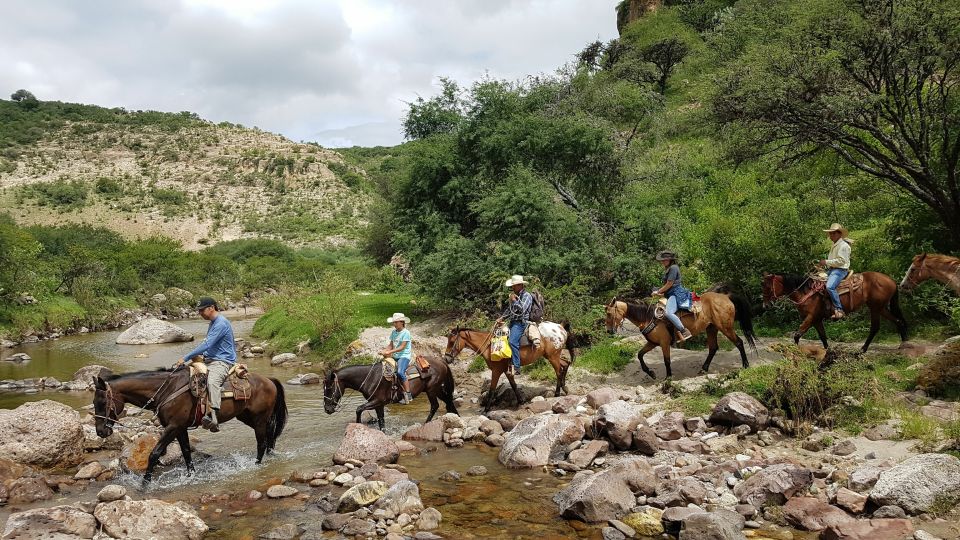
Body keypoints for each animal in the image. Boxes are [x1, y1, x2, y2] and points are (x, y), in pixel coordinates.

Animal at [94, 370, 288, 488]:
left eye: (102, 403)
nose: (100, 432)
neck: (166, 391)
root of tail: (269, 380)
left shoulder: (173, 427)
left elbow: (155, 453)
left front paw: (145, 484)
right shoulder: (180, 428)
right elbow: (186, 452)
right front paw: (191, 476)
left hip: (259, 419)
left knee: (261, 442)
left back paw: (256, 465)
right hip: (248, 417)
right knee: (270, 435)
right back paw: (270, 455)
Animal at [322, 356, 458, 432]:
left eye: (330, 388)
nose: (327, 409)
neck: (369, 377)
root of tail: (441, 362)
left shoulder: (377, 401)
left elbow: (359, 409)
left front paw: (358, 425)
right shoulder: (378, 405)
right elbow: (381, 422)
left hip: (432, 390)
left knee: (435, 405)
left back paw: (426, 424)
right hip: (436, 390)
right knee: (448, 401)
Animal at [444, 320, 572, 414]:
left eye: (452, 341)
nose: (446, 359)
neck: (489, 345)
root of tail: (560, 328)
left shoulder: (496, 370)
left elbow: (492, 389)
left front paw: (486, 410)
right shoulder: (506, 370)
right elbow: (513, 385)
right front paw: (521, 401)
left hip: (553, 356)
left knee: (558, 372)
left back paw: (557, 393)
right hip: (552, 355)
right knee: (565, 364)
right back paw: (565, 388)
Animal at [604, 292, 752, 380]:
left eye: (609, 314)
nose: (609, 331)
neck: (648, 317)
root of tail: (726, 297)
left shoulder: (664, 342)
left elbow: (666, 360)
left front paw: (668, 378)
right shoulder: (652, 343)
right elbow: (640, 355)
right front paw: (650, 373)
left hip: (725, 328)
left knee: (739, 342)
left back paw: (745, 365)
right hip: (711, 328)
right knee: (713, 348)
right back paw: (703, 369)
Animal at [760, 272, 904, 352]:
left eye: (767, 286)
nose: (765, 305)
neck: (806, 293)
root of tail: (891, 281)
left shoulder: (810, 317)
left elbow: (797, 335)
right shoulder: (817, 320)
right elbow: (823, 337)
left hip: (875, 308)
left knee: (875, 327)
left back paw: (863, 349)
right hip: (881, 308)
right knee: (898, 321)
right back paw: (903, 344)